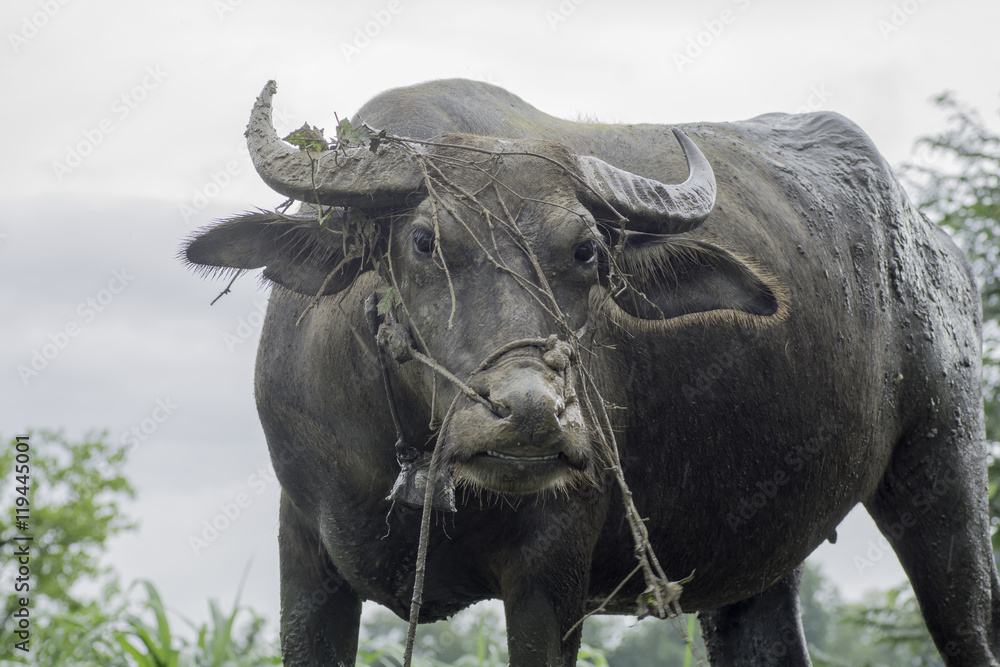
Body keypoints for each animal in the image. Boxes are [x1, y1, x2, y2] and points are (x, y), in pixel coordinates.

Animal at [185, 79, 999, 665]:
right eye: (423, 241)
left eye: (585, 252)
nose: (531, 413)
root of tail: (937, 250)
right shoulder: (305, 560)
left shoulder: (551, 576)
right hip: (756, 558)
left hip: (947, 473)